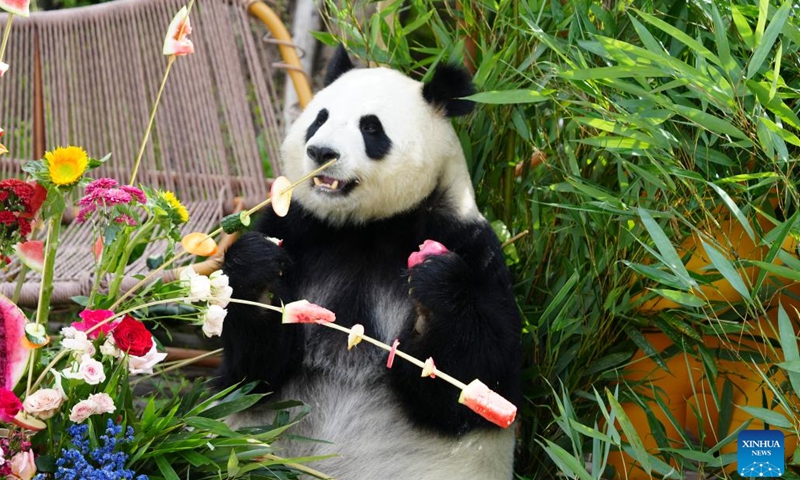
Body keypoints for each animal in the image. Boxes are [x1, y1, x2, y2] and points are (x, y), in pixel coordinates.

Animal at [220, 46, 520, 480]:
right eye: (320, 118)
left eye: (371, 128)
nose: (322, 152)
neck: (364, 227)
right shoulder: (296, 228)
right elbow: (253, 373)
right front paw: (258, 273)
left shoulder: (472, 245)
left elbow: (479, 380)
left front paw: (435, 289)